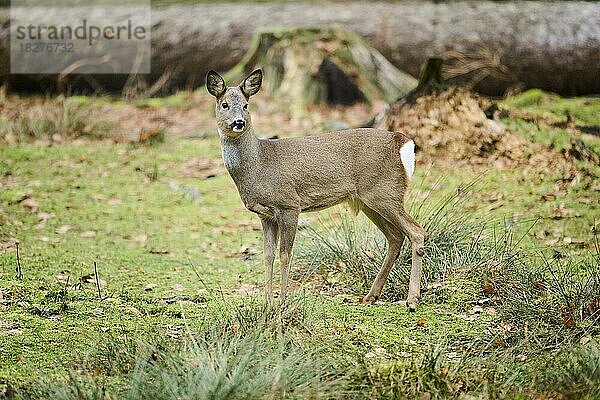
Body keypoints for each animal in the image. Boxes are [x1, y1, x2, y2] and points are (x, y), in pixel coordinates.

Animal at [206, 69, 426, 310]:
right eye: (225, 104)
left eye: (246, 105)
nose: (239, 122)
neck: (259, 165)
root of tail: (403, 143)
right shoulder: (265, 215)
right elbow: (267, 255)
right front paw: (266, 304)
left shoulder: (289, 204)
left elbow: (285, 254)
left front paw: (283, 302)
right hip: (369, 199)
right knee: (396, 237)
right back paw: (371, 296)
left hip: (385, 192)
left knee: (416, 231)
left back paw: (412, 300)